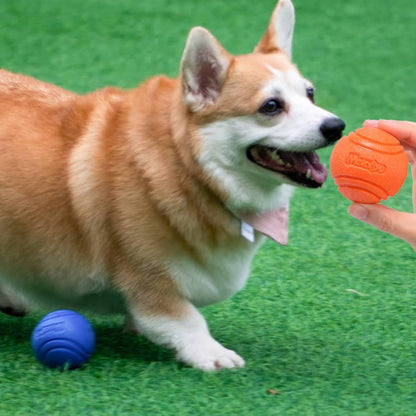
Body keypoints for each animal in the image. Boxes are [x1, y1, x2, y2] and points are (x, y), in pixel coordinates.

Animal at [0, 0, 344, 370]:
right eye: (271, 106)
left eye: (310, 94)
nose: (336, 126)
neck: (189, 167)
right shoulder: (149, 282)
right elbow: (188, 320)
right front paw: (213, 354)